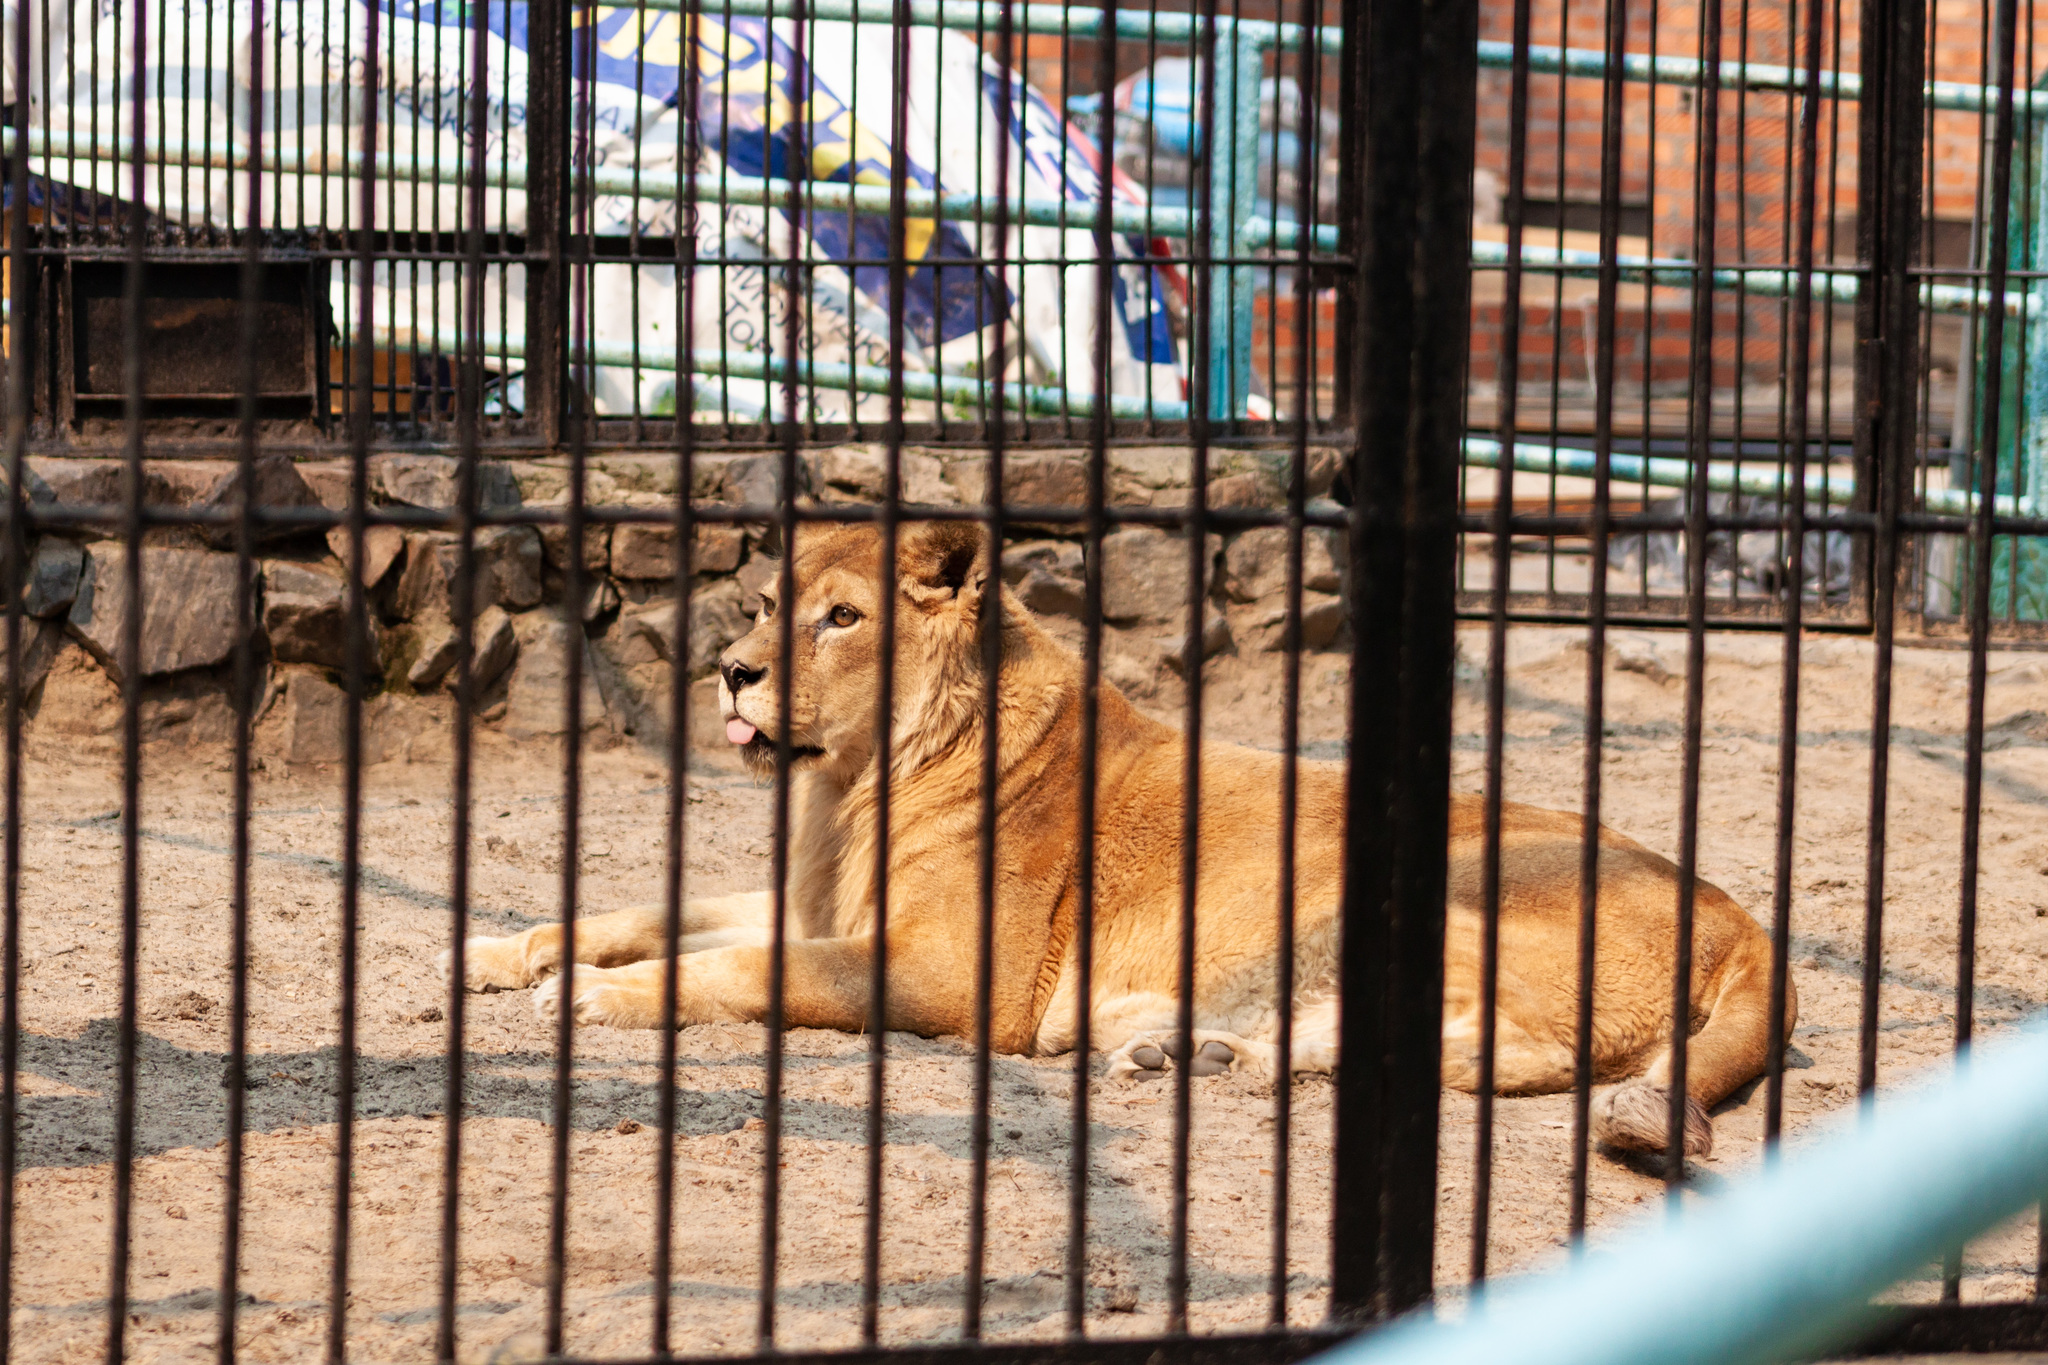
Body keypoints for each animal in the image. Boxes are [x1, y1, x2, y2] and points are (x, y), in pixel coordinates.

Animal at [444, 519, 1794, 1154]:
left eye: (841, 618)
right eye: (769, 603)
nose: (731, 671)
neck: (858, 782)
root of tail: (1737, 914)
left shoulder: (943, 976)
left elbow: (733, 969)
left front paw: (589, 997)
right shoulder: (821, 905)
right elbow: (647, 911)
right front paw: (507, 950)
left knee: (1521, 1054)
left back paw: (1234, 1058)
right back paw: (1177, 1047)